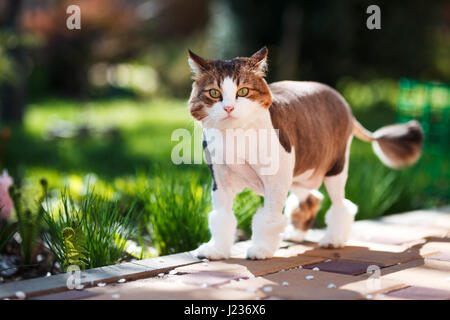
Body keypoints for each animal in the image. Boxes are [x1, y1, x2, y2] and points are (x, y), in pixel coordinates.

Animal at [185, 47, 422, 260]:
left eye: (243, 91)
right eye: (214, 93)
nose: (228, 108)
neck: (235, 137)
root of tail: (343, 102)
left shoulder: (276, 179)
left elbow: (269, 218)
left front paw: (261, 249)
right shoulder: (221, 179)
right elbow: (221, 217)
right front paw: (216, 250)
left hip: (335, 169)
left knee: (341, 205)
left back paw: (333, 239)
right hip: (299, 174)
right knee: (312, 199)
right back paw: (296, 234)